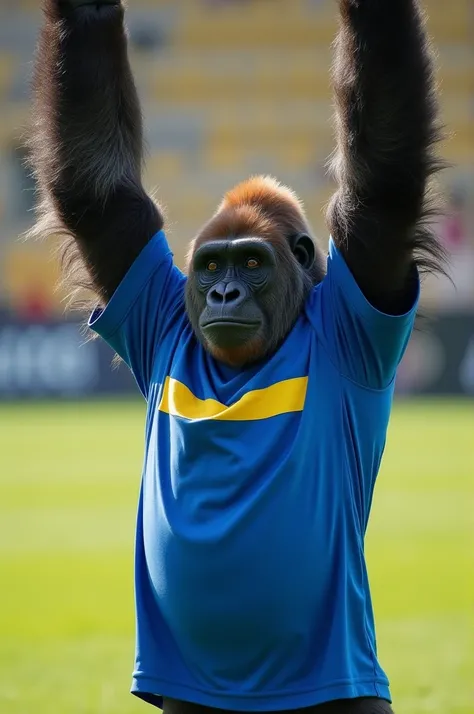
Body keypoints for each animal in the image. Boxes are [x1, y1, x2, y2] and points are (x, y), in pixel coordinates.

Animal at [28, 1, 444, 712]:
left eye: (251, 264)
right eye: (212, 266)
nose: (222, 292)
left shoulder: (364, 279)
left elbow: (384, 176)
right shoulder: (153, 299)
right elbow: (95, 187)